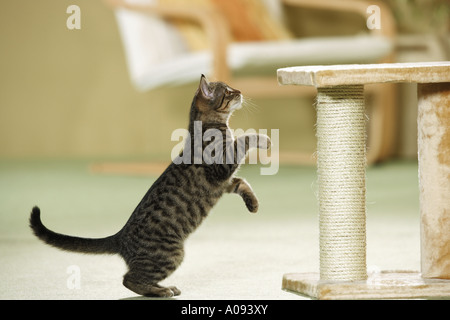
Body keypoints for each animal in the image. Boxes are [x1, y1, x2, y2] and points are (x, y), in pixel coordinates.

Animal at [31, 75, 272, 298]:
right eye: (228, 92)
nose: (240, 91)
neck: (206, 126)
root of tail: (121, 237)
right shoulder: (221, 167)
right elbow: (243, 139)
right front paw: (263, 139)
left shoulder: (225, 183)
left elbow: (243, 183)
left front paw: (253, 204)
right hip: (171, 254)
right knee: (129, 279)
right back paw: (162, 291)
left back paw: (164, 288)